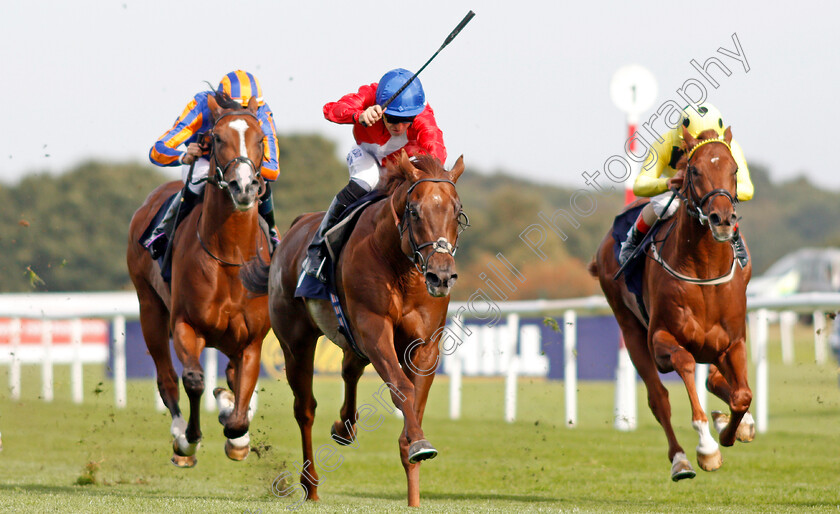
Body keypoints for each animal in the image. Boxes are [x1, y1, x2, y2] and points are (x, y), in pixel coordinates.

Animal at [126, 92, 270, 464]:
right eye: (216, 138)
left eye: (261, 139)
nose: (244, 186)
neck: (231, 259)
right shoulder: (185, 324)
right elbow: (192, 380)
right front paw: (189, 439)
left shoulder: (251, 341)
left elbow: (242, 398)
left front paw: (236, 432)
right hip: (149, 307)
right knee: (166, 377)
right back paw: (180, 434)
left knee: (231, 377)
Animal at [241, 150, 466, 506]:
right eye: (414, 211)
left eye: (457, 213)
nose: (441, 276)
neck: (401, 266)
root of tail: (294, 227)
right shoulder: (373, 327)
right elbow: (401, 386)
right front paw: (417, 445)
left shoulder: (426, 343)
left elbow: (415, 399)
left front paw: (413, 485)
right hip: (295, 342)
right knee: (305, 409)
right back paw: (311, 485)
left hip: (349, 339)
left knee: (349, 368)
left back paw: (344, 428)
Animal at [592, 127, 756, 480]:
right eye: (694, 171)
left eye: (734, 169)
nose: (722, 219)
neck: (704, 271)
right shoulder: (660, 340)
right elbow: (684, 363)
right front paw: (708, 449)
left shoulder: (733, 341)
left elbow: (742, 395)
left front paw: (730, 430)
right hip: (630, 330)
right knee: (659, 398)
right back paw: (680, 459)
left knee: (716, 380)